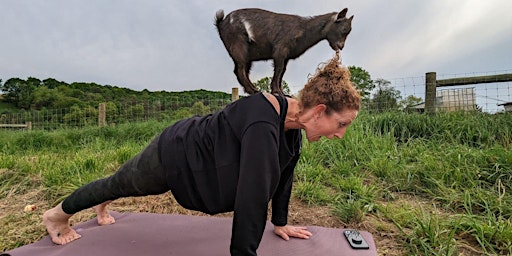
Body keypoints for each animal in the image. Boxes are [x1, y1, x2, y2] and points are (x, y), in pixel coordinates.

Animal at [215, 8, 352, 96]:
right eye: (344, 29)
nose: (341, 46)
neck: (303, 29)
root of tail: (221, 23)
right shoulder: (280, 50)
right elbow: (279, 69)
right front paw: (277, 92)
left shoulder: (286, 56)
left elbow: (282, 71)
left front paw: (281, 92)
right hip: (239, 45)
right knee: (240, 69)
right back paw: (255, 90)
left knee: (242, 70)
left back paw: (252, 90)